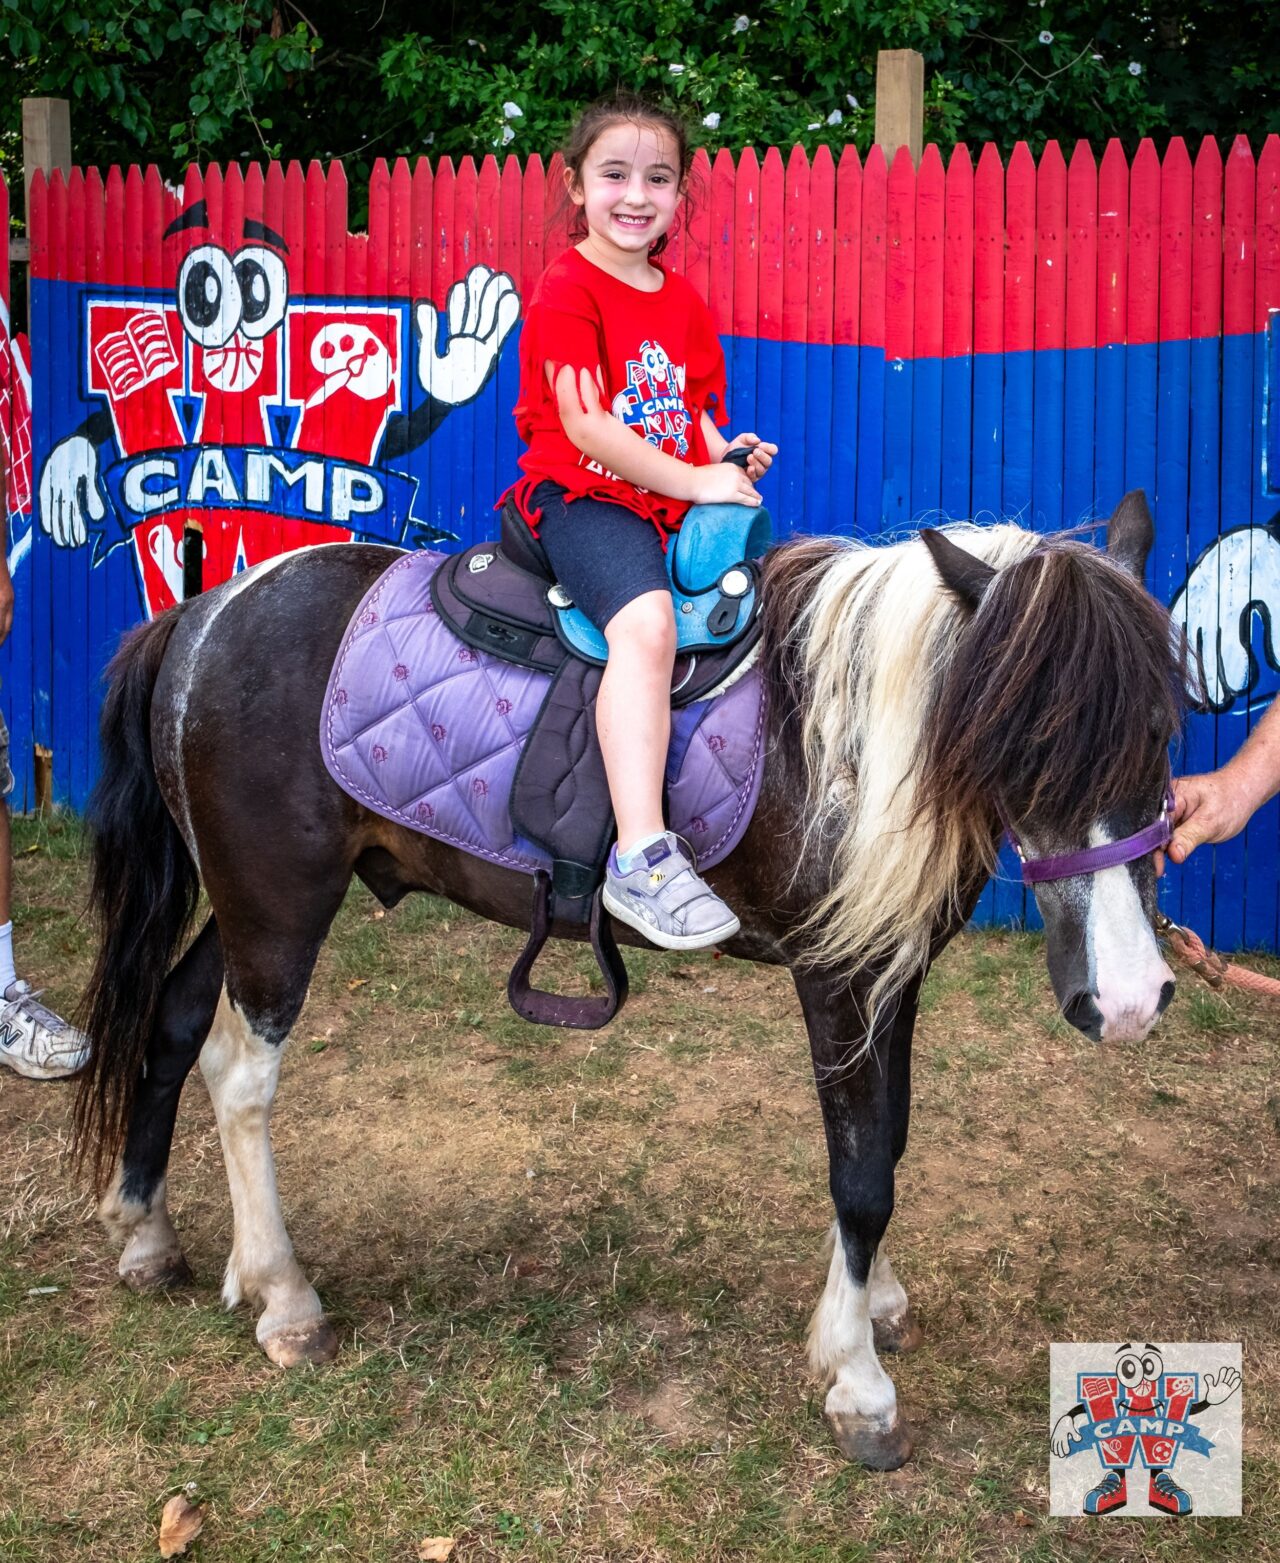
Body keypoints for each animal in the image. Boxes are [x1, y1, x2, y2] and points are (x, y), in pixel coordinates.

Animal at [72, 493, 1194, 1469]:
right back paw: (284, 1297)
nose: (1131, 1001)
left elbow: (891, 1137)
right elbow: (863, 1167)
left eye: (1161, 726)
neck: (852, 740)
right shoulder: (840, 976)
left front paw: (869, 1305)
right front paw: (856, 1378)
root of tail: (201, 614)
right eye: (1027, 741)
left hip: (245, 900)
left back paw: (147, 1231)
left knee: (174, 1023)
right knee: (239, 1072)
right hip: (279, 901)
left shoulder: (895, 971)